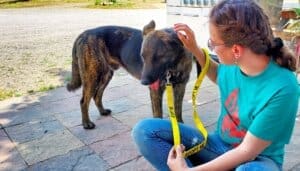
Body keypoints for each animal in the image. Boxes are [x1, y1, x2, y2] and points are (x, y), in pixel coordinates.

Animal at [66, 20, 197, 129]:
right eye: (143, 56)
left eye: (158, 57)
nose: (143, 82)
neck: (173, 66)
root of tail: (84, 34)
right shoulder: (156, 90)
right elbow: (158, 114)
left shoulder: (180, 86)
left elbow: (178, 110)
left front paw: (180, 126)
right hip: (92, 76)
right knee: (84, 101)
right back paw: (86, 123)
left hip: (105, 75)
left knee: (97, 95)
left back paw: (102, 111)